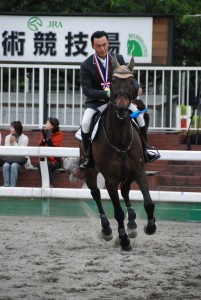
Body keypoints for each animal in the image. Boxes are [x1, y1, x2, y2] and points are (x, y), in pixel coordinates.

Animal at [79, 54, 156, 251]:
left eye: (131, 81)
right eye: (112, 81)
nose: (121, 109)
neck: (120, 138)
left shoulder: (139, 171)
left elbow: (148, 202)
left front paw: (150, 226)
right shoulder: (110, 179)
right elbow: (118, 212)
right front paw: (123, 240)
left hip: (128, 173)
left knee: (126, 191)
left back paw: (133, 224)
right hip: (90, 172)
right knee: (96, 194)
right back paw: (107, 229)